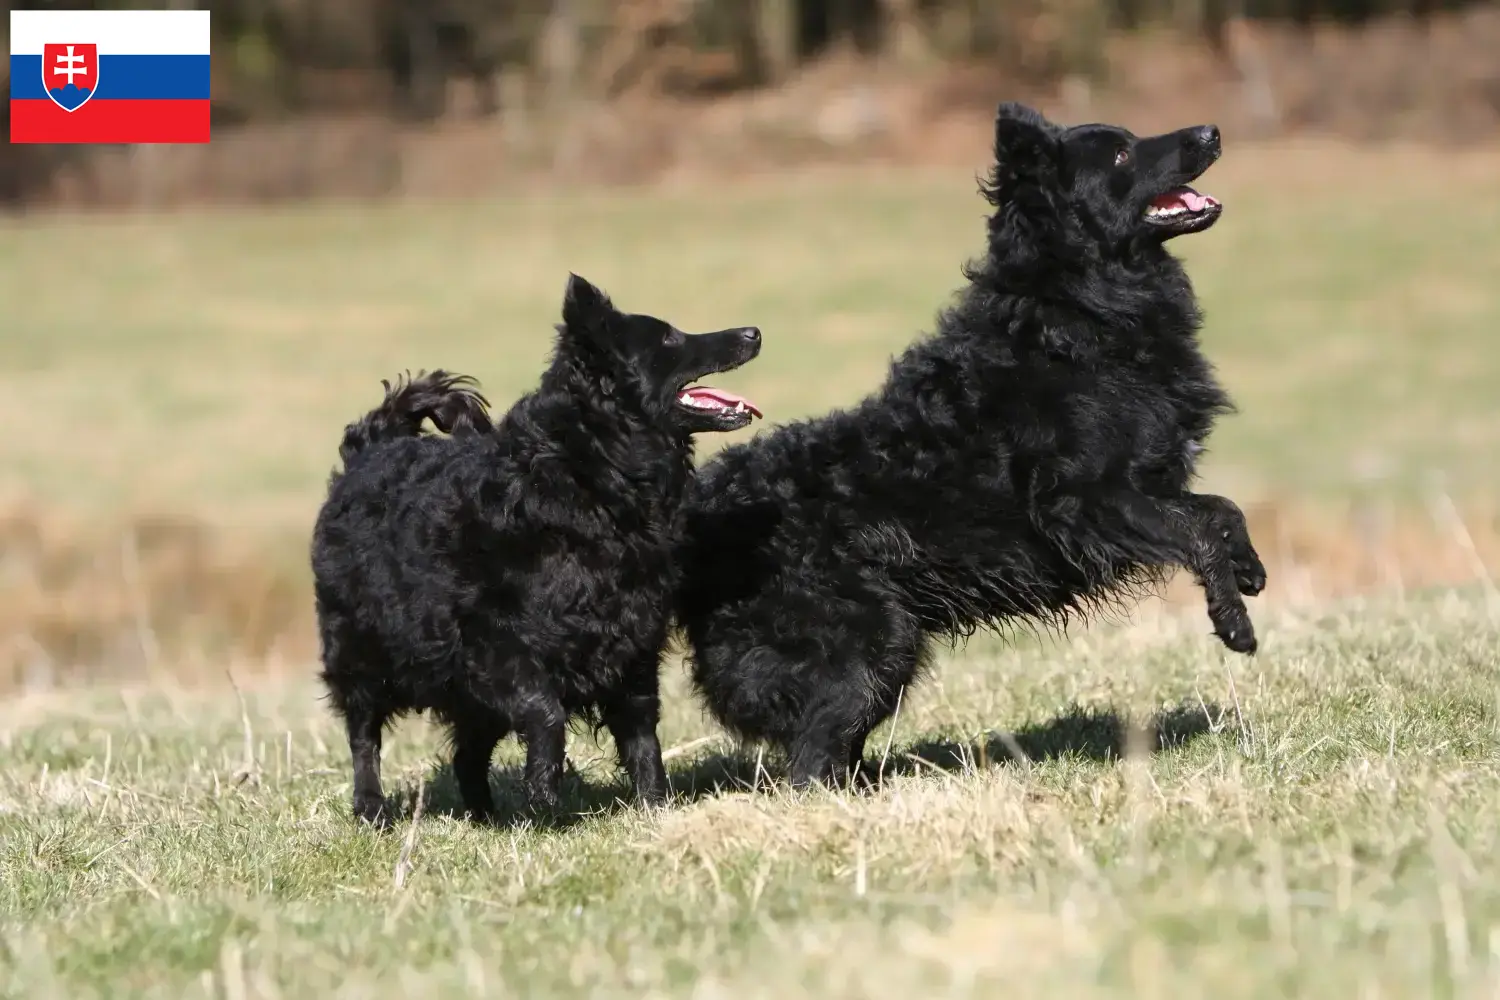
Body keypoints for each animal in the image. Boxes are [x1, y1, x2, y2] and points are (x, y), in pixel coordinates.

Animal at [313, 275, 762, 827]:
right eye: (669, 339)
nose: (754, 331)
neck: (591, 474)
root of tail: (371, 448)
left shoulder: (632, 642)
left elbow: (642, 739)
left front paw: (654, 809)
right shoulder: (499, 650)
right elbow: (546, 715)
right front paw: (545, 800)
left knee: (466, 755)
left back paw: (484, 816)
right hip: (361, 656)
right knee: (364, 736)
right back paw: (371, 807)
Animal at [681, 101, 1266, 791]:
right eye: (1122, 154)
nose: (1211, 132)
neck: (1075, 313)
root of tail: (699, 512)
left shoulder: (1148, 484)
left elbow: (1221, 509)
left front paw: (1249, 568)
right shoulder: (1086, 503)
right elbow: (1197, 531)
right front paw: (1234, 622)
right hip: (875, 642)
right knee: (812, 760)